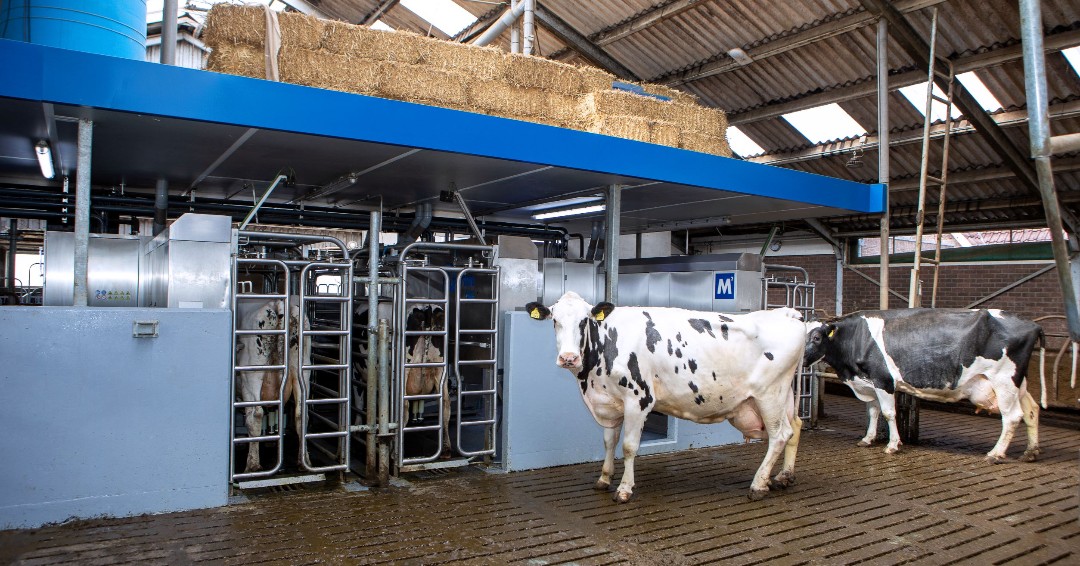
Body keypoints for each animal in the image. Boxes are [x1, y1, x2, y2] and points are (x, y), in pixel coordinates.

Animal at [235, 297, 312, 474]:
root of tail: (277, 303)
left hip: (252, 373)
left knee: (255, 415)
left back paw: (252, 465)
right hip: (303, 370)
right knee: (301, 414)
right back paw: (304, 461)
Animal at [525, 291, 806, 502]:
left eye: (585, 321)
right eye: (554, 320)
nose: (568, 357)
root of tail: (786, 313)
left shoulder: (638, 399)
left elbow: (628, 446)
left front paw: (624, 489)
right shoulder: (610, 402)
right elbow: (608, 442)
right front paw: (604, 478)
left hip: (769, 395)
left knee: (779, 435)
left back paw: (758, 485)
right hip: (784, 394)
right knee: (794, 426)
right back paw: (784, 477)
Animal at [804, 308, 1044, 463]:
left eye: (816, 338)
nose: (800, 360)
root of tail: (1032, 324)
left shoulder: (883, 380)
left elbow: (888, 413)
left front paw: (893, 445)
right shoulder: (868, 383)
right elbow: (872, 412)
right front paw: (867, 439)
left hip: (1004, 380)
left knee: (1012, 416)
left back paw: (995, 453)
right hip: (1018, 383)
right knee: (1031, 410)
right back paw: (1031, 452)